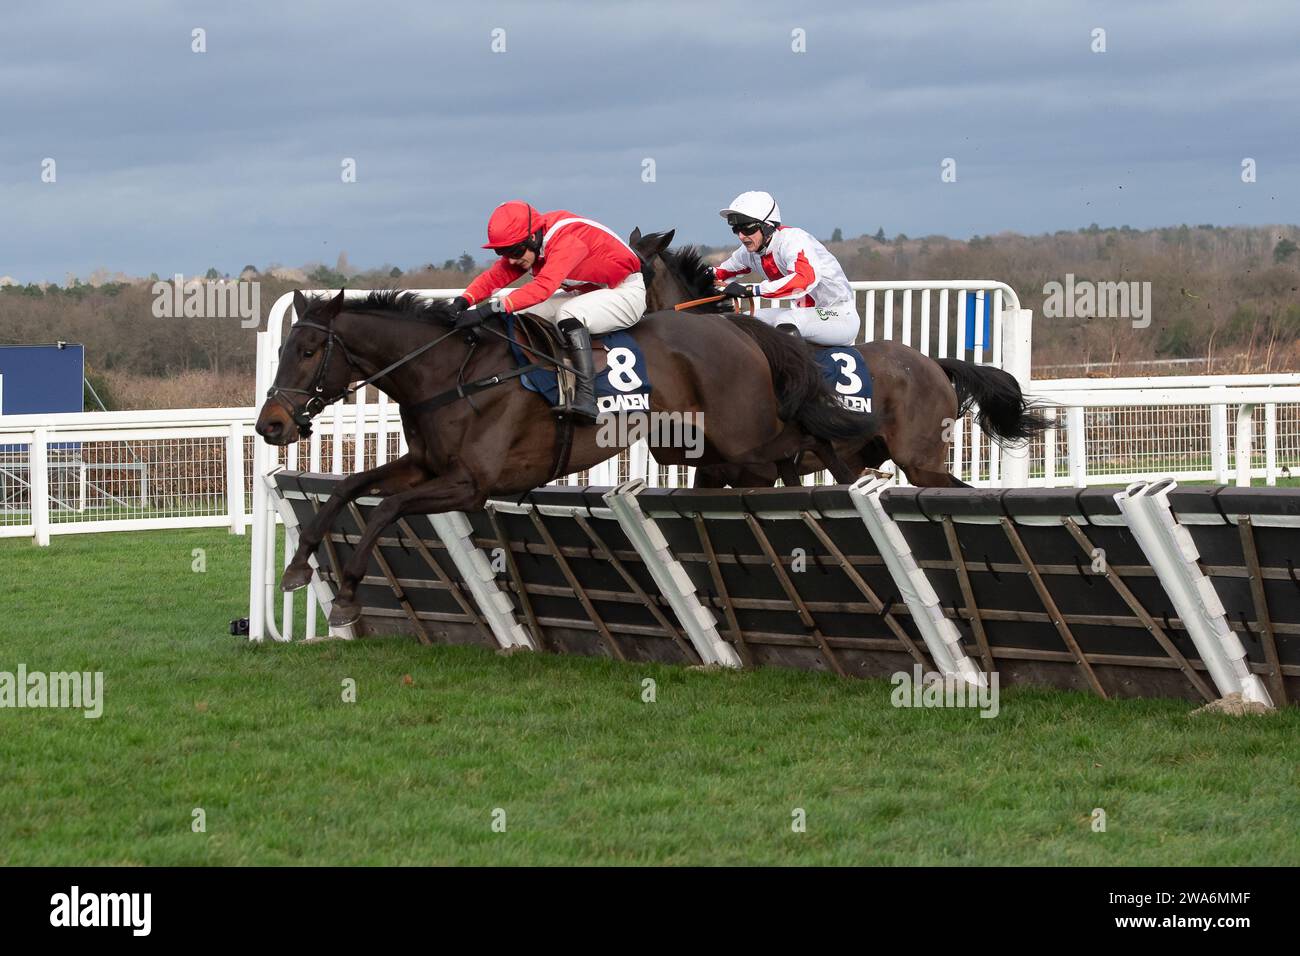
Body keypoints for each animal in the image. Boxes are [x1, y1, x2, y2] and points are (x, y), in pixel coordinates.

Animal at [253, 287, 873, 624]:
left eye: (308, 350)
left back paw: (853, 473)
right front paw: (298, 564)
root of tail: (734, 325)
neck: (448, 374)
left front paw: (347, 594)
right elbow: (346, 489)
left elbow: (383, 510)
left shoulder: (470, 483)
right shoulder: (425, 466)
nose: (270, 424)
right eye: (282, 348)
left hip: (741, 434)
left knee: (800, 443)